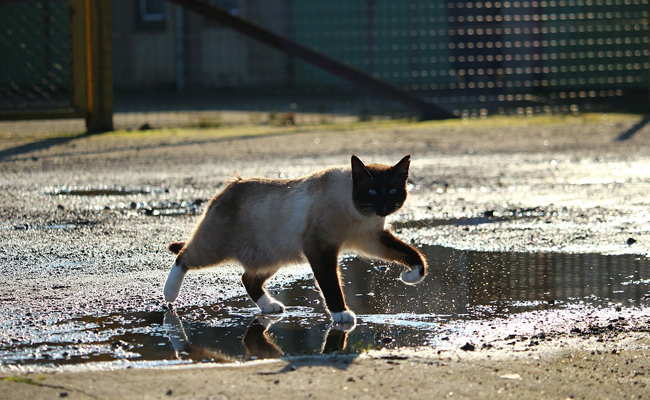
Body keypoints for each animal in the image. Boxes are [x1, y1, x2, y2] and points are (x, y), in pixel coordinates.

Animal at [162, 155, 426, 324]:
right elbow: (331, 286)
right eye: (372, 192)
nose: (384, 206)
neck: (360, 216)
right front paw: (341, 314)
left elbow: (414, 256)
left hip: (271, 258)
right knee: (182, 256)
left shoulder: (371, 239)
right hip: (214, 250)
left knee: (248, 279)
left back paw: (270, 306)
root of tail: (232, 184)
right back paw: (169, 295)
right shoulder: (320, 248)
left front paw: (409, 277)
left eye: (392, 191)